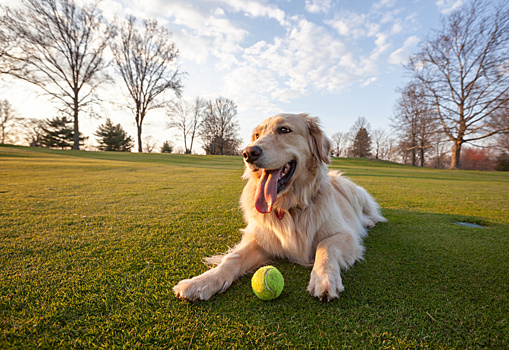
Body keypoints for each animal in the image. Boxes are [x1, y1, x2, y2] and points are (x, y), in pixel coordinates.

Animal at [175, 113, 384, 302]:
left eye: (284, 130)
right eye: (256, 135)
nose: (248, 153)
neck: (289, 207)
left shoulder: (345, 235)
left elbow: (325, 246)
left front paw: (324, 278)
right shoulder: (262, 239)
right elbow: (233, 258)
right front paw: (202, 281)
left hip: (349, 188)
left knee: (369, 213)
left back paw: (368, 222)